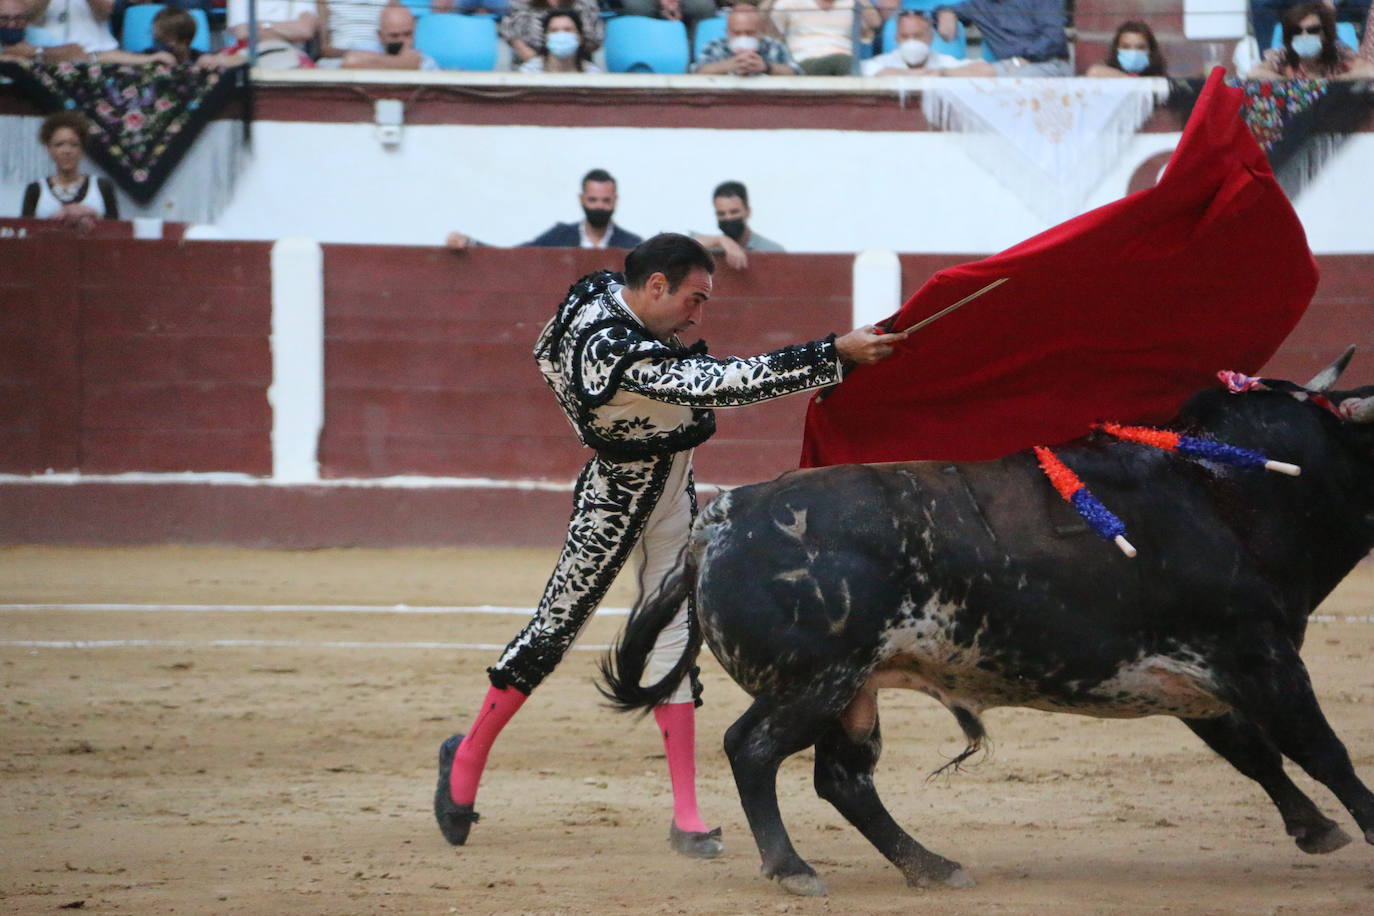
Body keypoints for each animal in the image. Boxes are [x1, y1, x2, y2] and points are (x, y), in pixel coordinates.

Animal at [601, 351, 1374, 895]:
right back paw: (794, 868)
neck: (1226, 491)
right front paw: (1362, 828)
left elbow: (1257, 753)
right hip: (816, 682)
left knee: (843, 779)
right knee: (753, 749)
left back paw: (931, 866)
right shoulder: (1260, 658)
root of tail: (720, 520)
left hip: (856, 689)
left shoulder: (1195, 679)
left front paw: (1316, 830)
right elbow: (1323, 750)